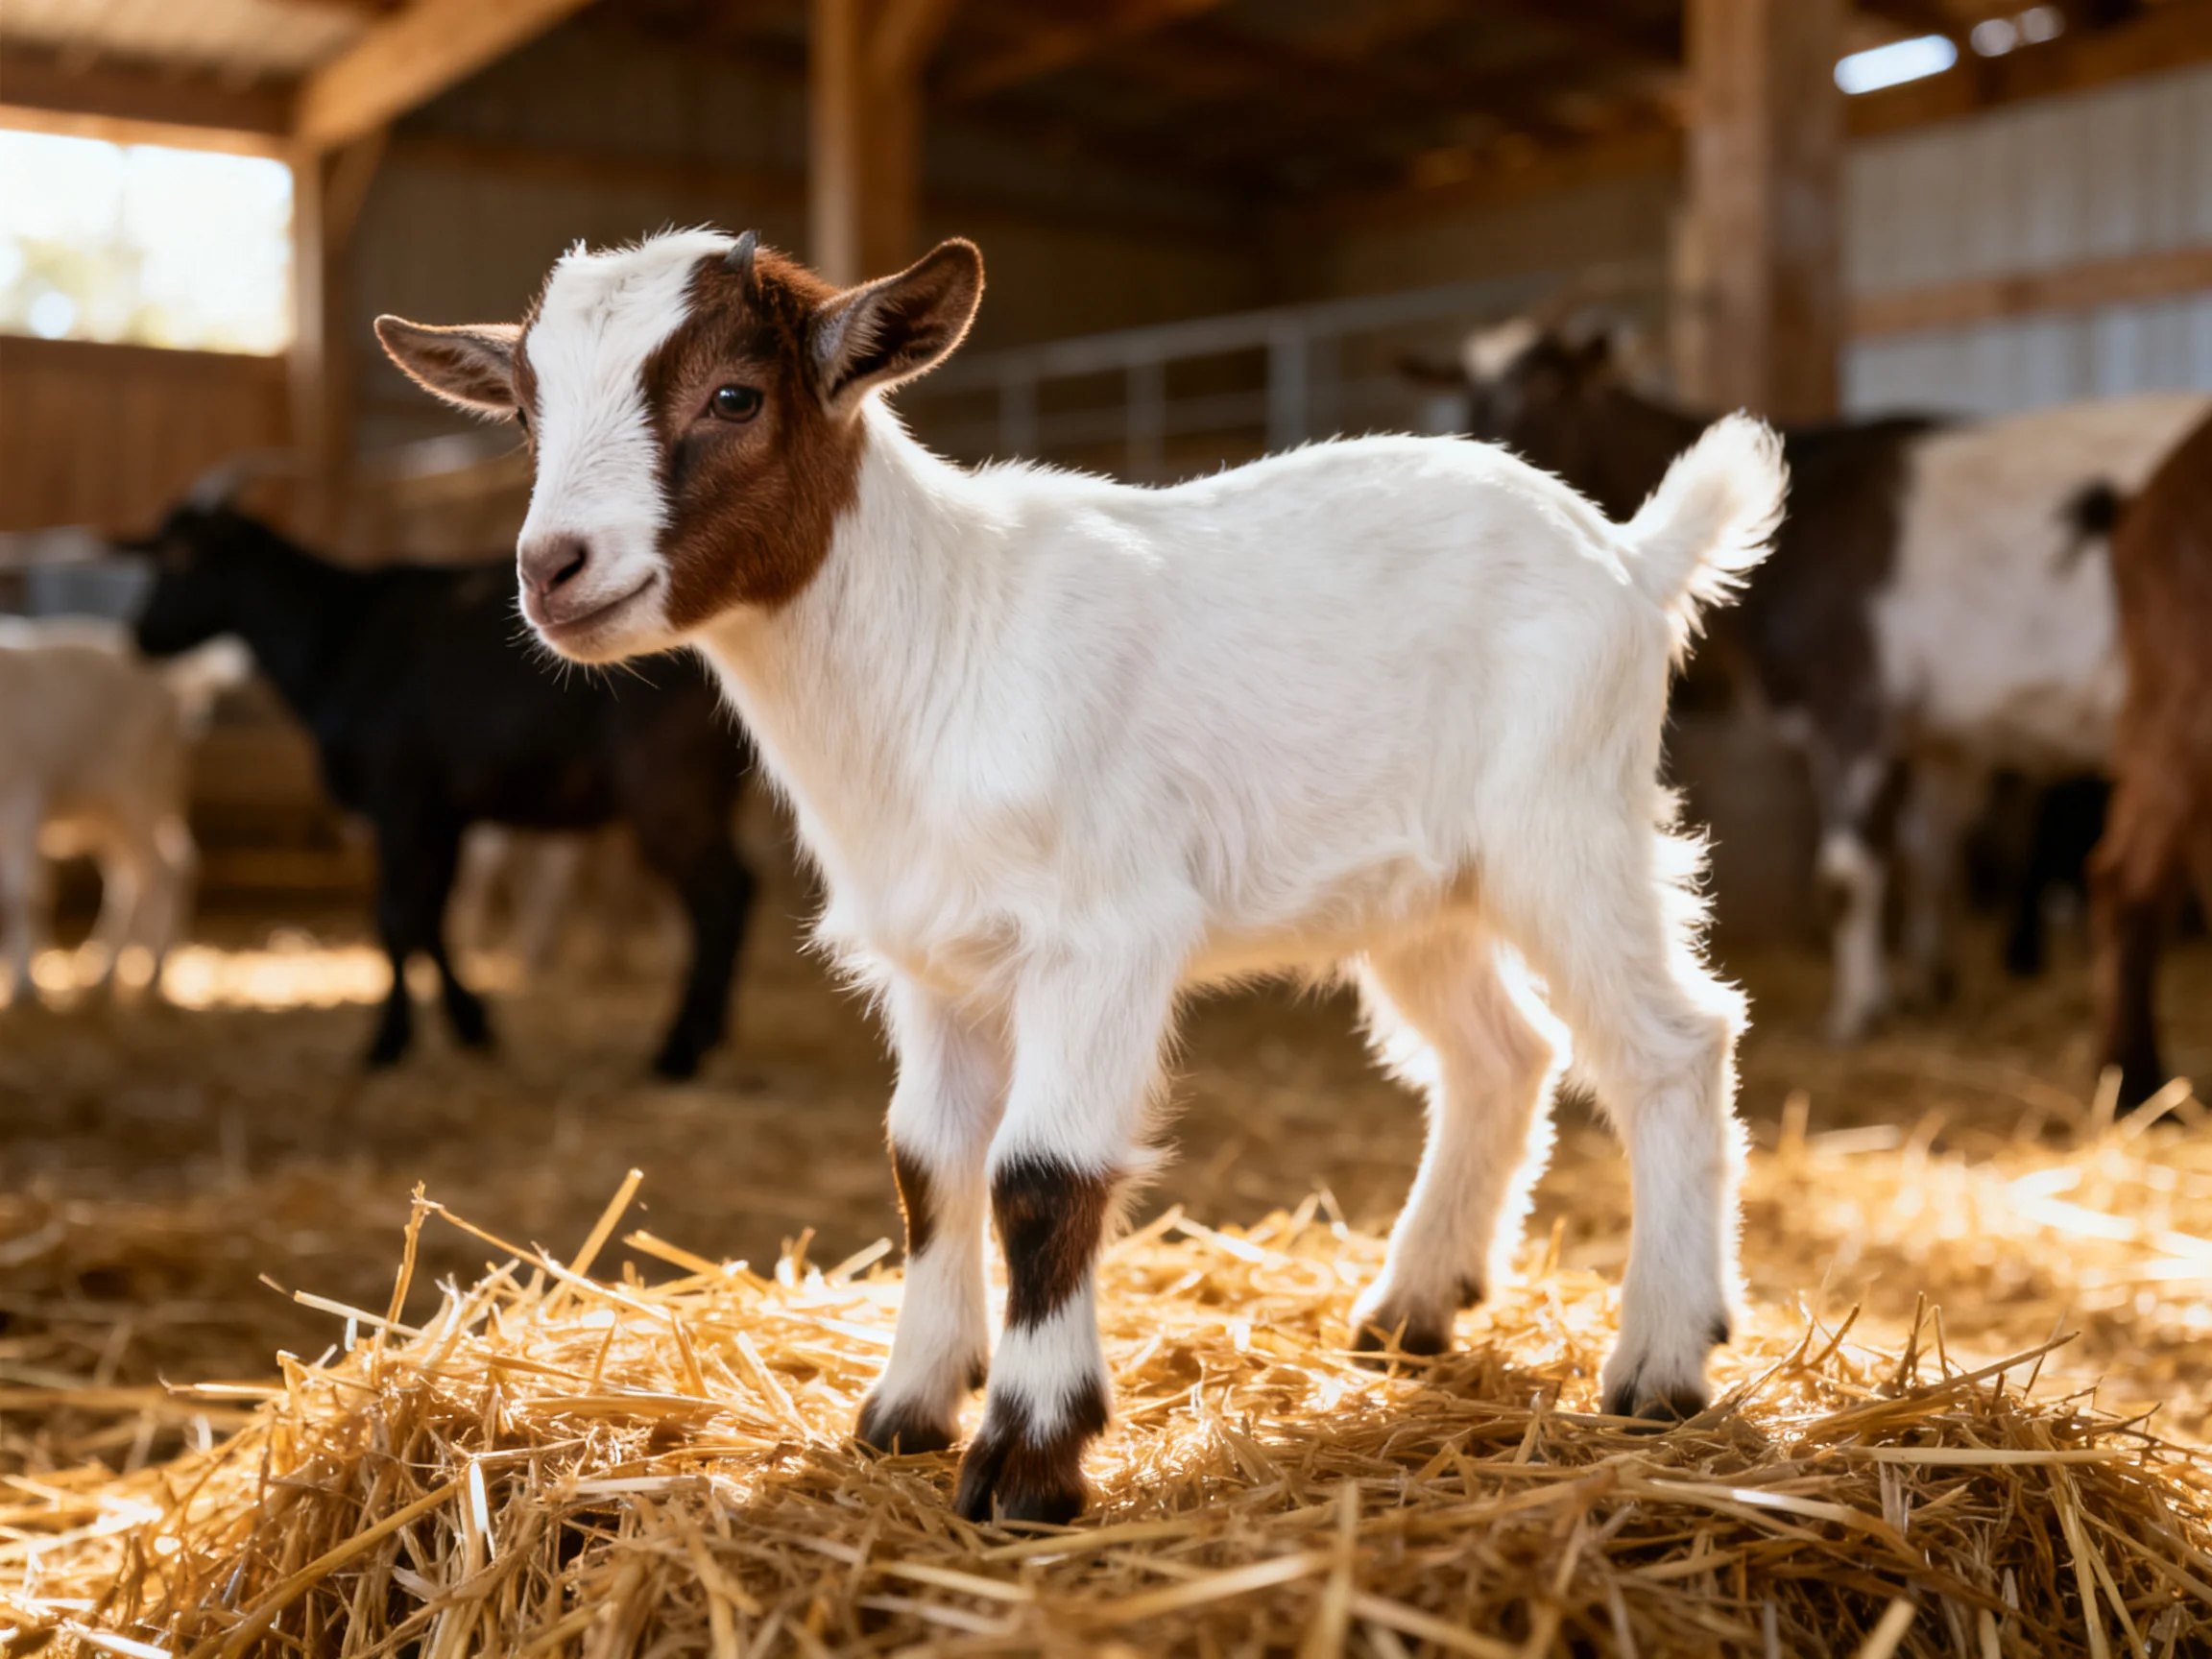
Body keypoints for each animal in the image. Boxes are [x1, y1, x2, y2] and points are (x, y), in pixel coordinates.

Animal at [0, 619, 228, 1003]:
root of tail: (174, 687)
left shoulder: (23, 800)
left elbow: (20, 895)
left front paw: (23, 985)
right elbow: (35, 889)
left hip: (137, 796)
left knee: (158, 871)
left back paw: (150, 969)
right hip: (117, 812)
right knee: (150, 871)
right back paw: (112, 967)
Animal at [128, 504, 756, 1078]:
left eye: (178, 559)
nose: (142, 635)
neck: (338, 636)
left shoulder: (397, 798)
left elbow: (395, 915)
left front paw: (387, 1043)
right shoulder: (442, 813)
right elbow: (430, 914)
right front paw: (471, 1025)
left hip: (670, 787)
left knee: (722, 894)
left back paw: (679, 1052)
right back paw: (710, 1035)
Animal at [377, 229, 1785, 1524]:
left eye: (734, 394)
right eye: (528, 410)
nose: (552, 569)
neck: (946, 637)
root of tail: (1630, 556)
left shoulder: (1104, 938)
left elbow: (1041, 1176)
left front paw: (1030, 1459)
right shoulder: (933, 963)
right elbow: (926, 1163)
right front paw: (905, 1407)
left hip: (1568, 821)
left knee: (1671, 1042)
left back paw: (1664, 1359)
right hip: (1415, 888)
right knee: (1501, 1054)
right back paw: (1414, 1307)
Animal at [1423, 322, 2206, 1041]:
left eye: (1551, 386)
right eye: (1465, 392)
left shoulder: (1848, 704)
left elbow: (1849, 874)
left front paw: (1856, 1011)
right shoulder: (1938, 737)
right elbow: (1931, 856)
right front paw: (1929, 984)